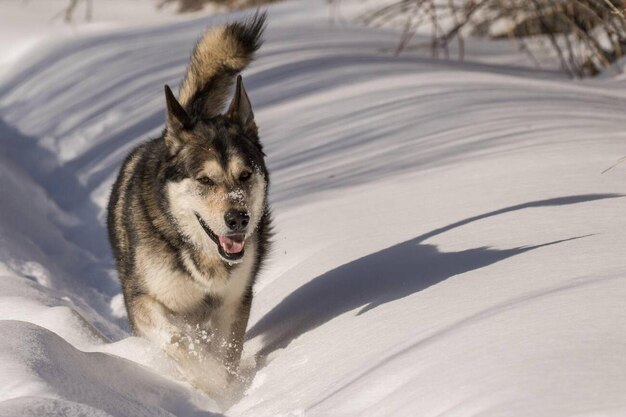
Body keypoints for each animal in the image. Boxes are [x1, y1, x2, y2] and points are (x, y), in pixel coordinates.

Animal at [106, 13, 270, 404]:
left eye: (244, 175)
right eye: (205, 180)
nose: (238, 218)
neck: (199, 254)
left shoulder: (234, 301)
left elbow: (226, 352)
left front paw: (226, 389)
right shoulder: (144, 301)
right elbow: (181, 341)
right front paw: (211, 387)